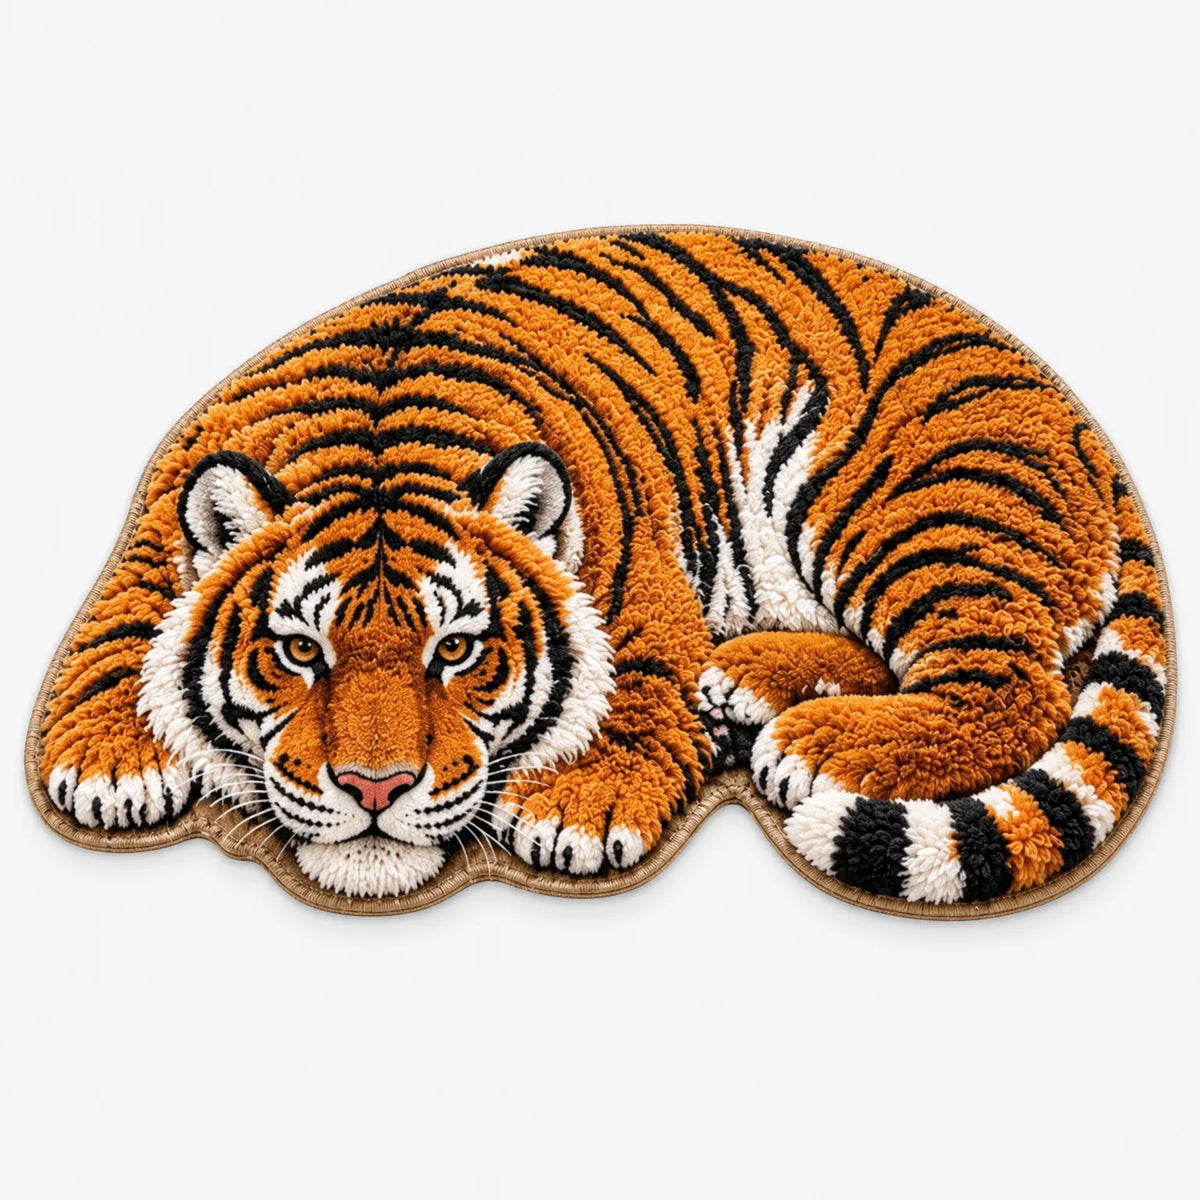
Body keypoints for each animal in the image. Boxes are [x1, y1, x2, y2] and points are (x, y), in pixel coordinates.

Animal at [36, 228, 1170, 906]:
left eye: (458, 651)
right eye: (299, 652)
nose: (375, 789)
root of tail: (1069, 409)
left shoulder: (643, 589)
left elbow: (636, 686)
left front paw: (579, 809)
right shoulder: (154, 530)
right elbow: (112, 634)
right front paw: (106, 764)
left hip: (903, 500)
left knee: (1011, 686)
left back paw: (814, 743)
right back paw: (752, 681)